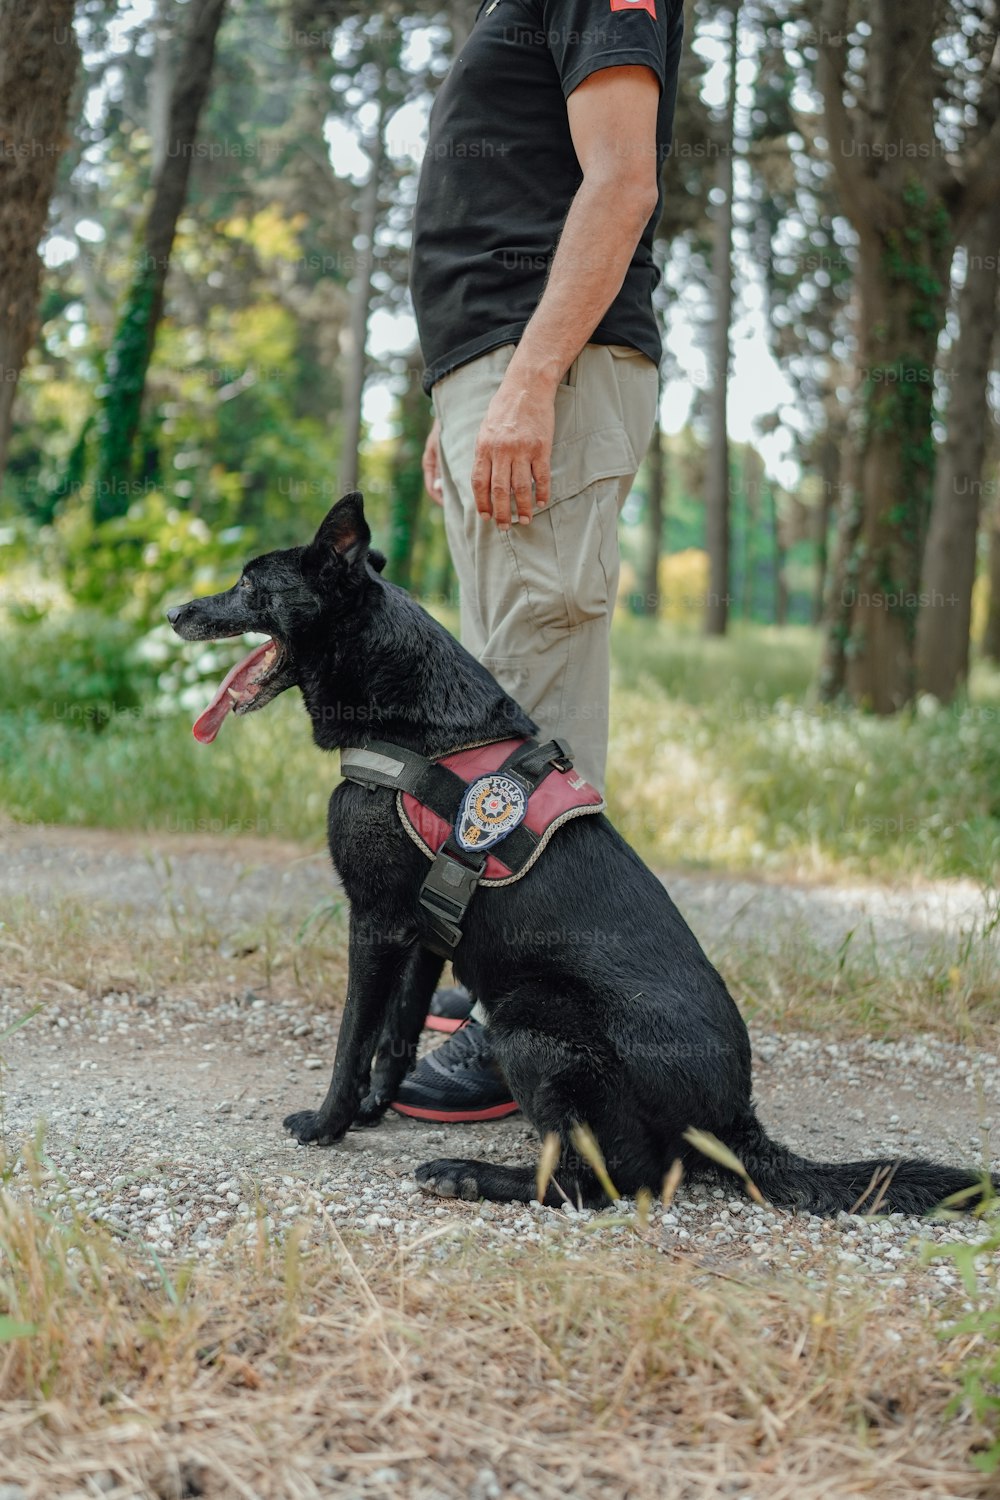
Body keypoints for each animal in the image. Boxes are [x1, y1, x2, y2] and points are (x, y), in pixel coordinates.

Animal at [167, 495, 995, 1218]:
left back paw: (470, 1175)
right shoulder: (421, 930)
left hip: (533, 1022)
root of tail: (734, 1123)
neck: (414, 725)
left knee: (608, 1181)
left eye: (248, 583)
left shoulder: (372, 923)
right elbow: (396, 1034)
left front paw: (328, 1122)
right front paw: (374, 1109)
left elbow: (352, 1037)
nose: (173, 613)